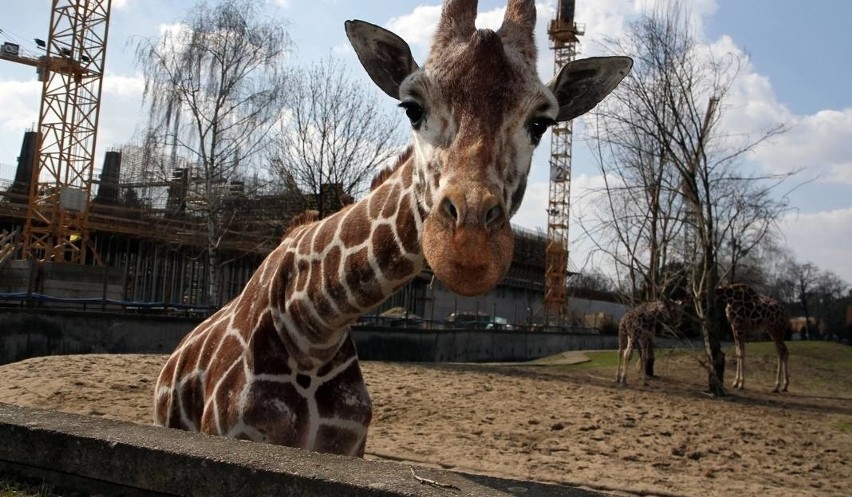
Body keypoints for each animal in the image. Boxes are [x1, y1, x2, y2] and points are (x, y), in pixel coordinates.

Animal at [153, 0, 632, 458]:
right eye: (413, 108)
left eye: (541, 123)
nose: (468, 249)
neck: (312, 329)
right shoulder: (231, 433)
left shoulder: (347, 446)